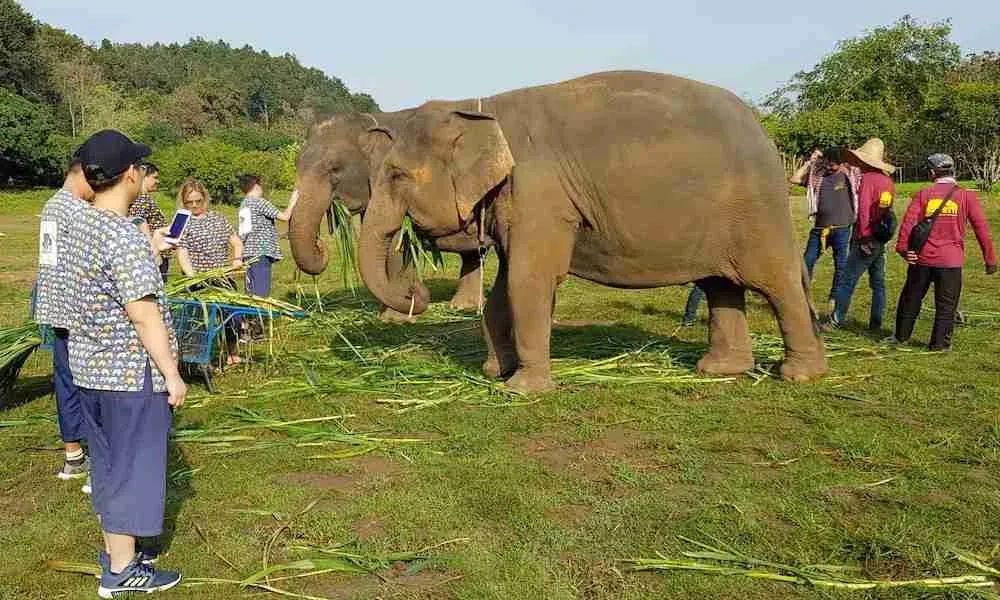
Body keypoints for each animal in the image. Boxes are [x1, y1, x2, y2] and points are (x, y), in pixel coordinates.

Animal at [289, 110, 487, 320]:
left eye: (334, 168)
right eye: (296, 163)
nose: (320, 243)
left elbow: (397, 242)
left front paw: (394, 319)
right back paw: (463, 307)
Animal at [358, 71, 829, 394]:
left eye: (396, 175)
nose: (416, 295)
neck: (479, 106)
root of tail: (766, 135)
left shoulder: (540, 194)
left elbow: (530, 279)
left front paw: (522, 390)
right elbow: (508, 282)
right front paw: (496, 372)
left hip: (757, 213)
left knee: (776, 283)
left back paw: (800, 376)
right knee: (720, 284)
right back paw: (719, 370)